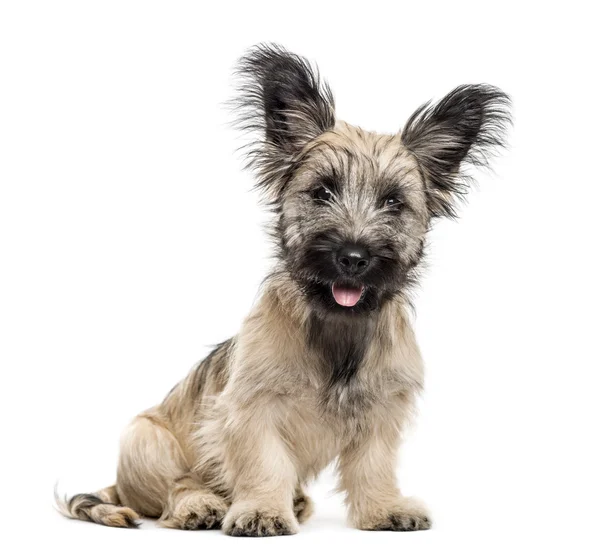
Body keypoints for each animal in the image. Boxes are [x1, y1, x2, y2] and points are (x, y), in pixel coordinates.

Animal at [56, 42, 508, 536]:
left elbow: (374, 465)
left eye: (394, 202)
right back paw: (201, 505)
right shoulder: (252, 409)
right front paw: (261, 511)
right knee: (176, 487)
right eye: (322, 192)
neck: (337, 327)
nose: (353, 256)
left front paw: (383, 508)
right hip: (145, 438)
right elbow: (264, 463)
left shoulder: (382, 411)